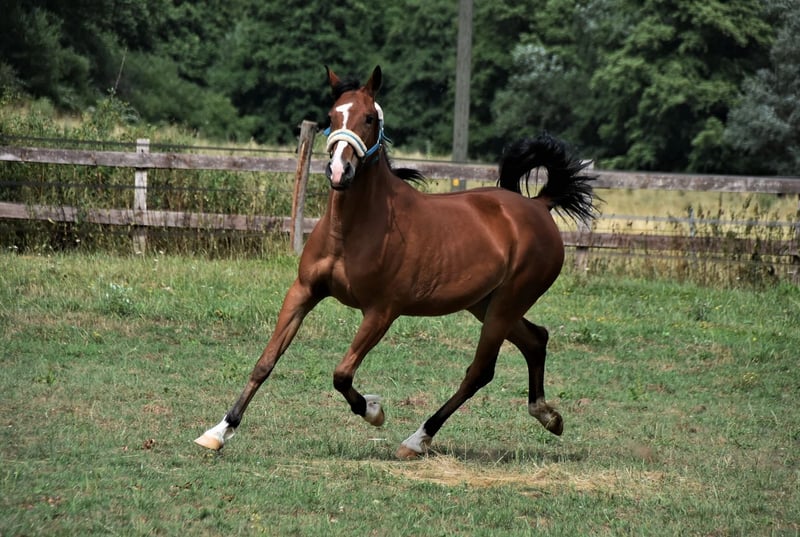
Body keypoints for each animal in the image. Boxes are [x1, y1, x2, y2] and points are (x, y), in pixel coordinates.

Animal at [195, 65, 596, 459]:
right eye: (331, 116)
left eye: (370, 118)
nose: (339, 172)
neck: (351, 231)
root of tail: (539, 206)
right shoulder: (304, 291)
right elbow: (266, 361)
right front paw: (218, 431)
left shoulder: (381, 311)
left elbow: (342, 373)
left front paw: (374, 411)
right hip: (486, 304)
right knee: (535, 339)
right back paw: (548, 416)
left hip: (506, 305)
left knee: (480, 371)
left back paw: (418, 438)